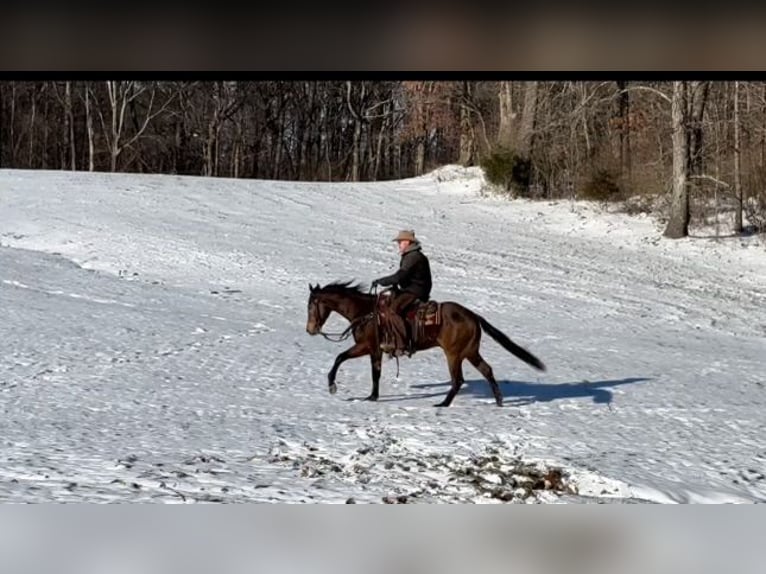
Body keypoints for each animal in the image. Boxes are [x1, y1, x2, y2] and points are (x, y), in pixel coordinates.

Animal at [304, 280, 544, 408]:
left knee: (458, 379)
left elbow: (340, 358)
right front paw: (372, 397)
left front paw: (332, 386)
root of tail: (473, 316)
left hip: (454, 354)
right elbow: (375, 374)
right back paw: (499, 401)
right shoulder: (375, 351)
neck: (365, 313)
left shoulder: (366, 346)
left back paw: (443, 404)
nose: (310, 330)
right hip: (470, 352)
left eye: (311, 305)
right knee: (487, 370)